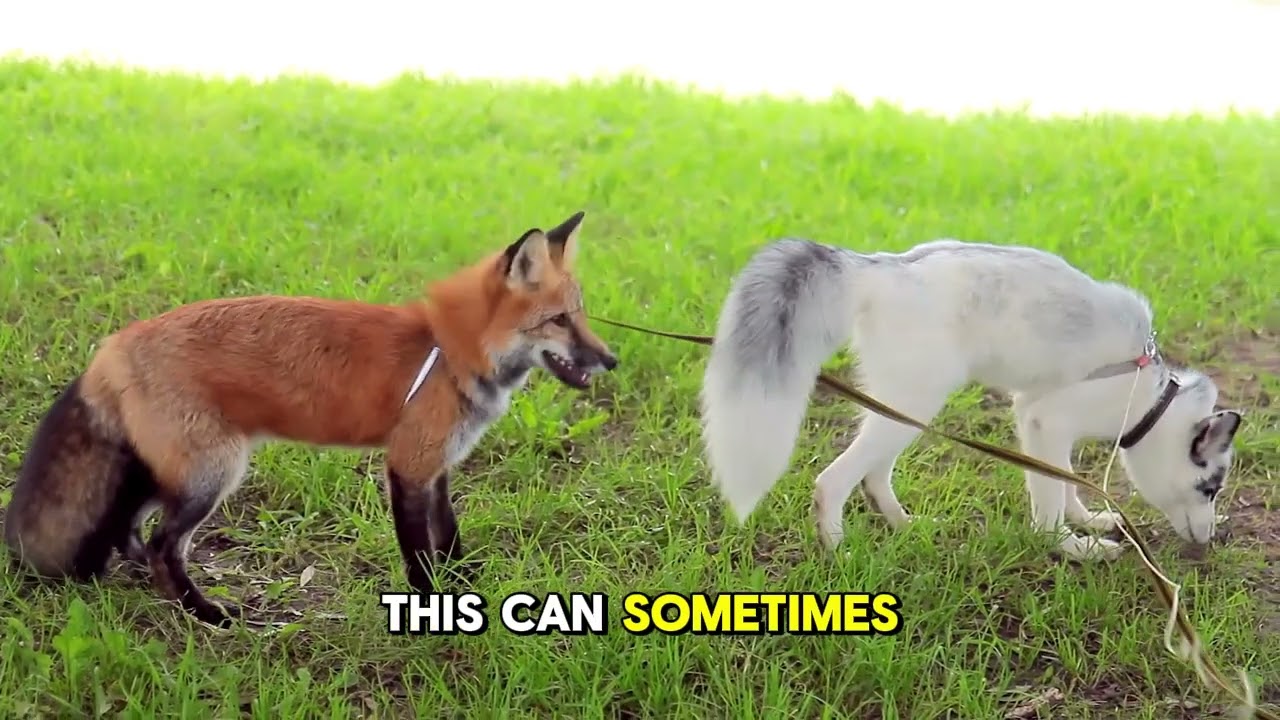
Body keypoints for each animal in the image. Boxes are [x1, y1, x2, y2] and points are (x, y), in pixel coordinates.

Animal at [3, 210, 619, 627]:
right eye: (559, 321)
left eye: (582, 315)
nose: (611, 360)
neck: (448, 351)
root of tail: (113, 345)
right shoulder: (407, 466)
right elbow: (420, 554)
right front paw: (431, 610)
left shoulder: (437, 465)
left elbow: (449, 537)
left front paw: (463, 587)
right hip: (212, 474)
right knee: (160, 545)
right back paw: (205, 614)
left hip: (176, 472)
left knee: (129, 527)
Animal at [700, 237, 1243, 562]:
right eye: (1209, 489)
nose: (1209, 540)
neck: (1152, 396)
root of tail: (880, 269)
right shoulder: (1048, 419)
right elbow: (1049, 499)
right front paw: (1071, 546)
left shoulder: (1034, 415)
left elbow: (1063, 481)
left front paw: (1085, 521)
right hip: (916, 403)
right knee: (832, 481)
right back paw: (839, 553)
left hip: (903, 407)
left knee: (874, 475)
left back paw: (905, 525)